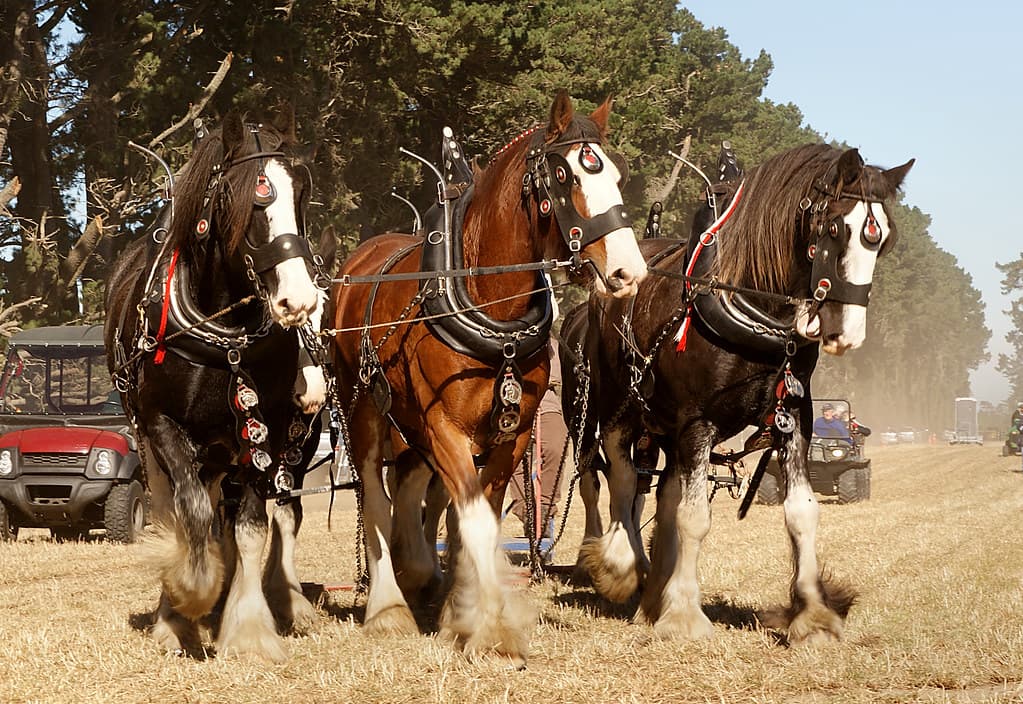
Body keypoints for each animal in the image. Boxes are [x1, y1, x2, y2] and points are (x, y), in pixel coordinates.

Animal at [104, 108, 329, 662]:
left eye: (303, 190)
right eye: (242, 197)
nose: (297, 300)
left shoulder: (265, 431)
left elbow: (250, 527)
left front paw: (248, 629)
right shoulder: (162, 423)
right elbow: (191, 513)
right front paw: (188, 596)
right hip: (155, 441)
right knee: (178, 509)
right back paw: (177, 610)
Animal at [329, 92, 647, 666]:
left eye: (616, 172)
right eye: (564, 175)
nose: (627, 271)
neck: (485, 301)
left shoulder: (512, 436)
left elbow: (481, 519)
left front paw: (461, 609)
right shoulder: (445, 428)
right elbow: (473, 519)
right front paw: (491, 626)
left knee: (411, 484)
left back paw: (419, 572)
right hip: (364, 409)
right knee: (374, 494)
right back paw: (388, 605)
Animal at [569, 143, 913, 643]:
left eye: (883, 240)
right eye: (835, 228)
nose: (845, 333)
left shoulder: (794, 416)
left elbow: (801, 512)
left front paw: (813, 614)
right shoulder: (697, 422)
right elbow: (693, 518)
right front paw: (685, 615)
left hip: (665, 428)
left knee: (663, 494)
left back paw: (653, 596)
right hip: (616, 404)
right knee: (619, 475)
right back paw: (620, 564)